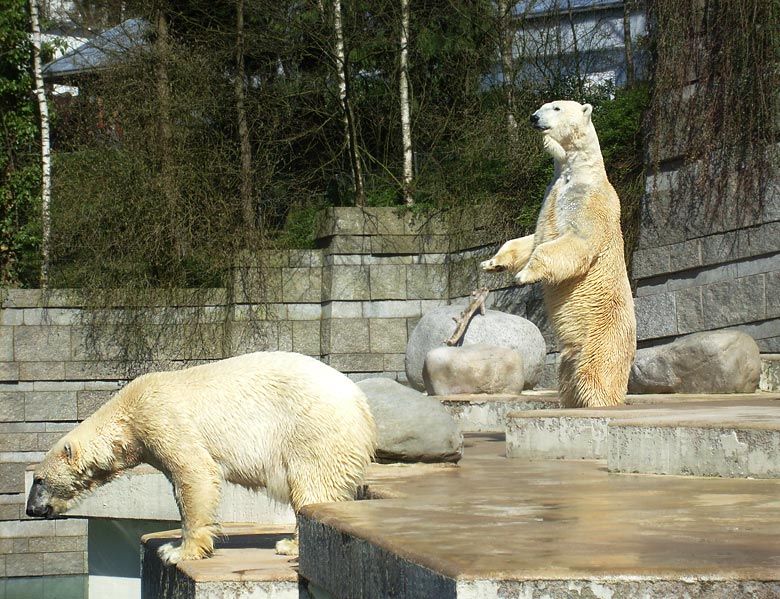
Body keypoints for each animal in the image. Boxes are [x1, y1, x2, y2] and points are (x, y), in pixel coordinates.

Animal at [25, 352, 378, 564]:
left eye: (38, 479)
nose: (30, 509)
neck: (128, 418)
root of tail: (360, 399)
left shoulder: (163, 419)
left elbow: (194, 474)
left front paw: (177, 551)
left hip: (311, 427)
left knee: (313, 484)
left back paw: (290, 545)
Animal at [484, 101, 636, 410]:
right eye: (541, 106)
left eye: (555, 108)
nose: (534, 118)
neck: (575, 169)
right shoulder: (552, 194)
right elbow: (531, 240)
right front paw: (492, 263)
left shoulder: (589, 201)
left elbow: (574, 242)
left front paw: (523, 276)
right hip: (572, 354)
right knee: (569, 377)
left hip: (605, 333)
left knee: (596, 374)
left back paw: (600, 403)